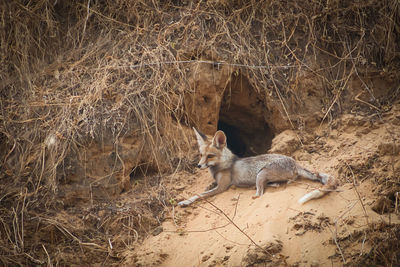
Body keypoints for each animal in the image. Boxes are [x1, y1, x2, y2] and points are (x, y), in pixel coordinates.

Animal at [178, 127, 338, 207]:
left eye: (210, 156)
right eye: (201, 155)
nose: (199, 165)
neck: (222, 166)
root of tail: (294, 162)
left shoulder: (222, 186)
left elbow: (200, 194)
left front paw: (185, 201)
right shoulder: (217, 182)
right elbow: (203, 189)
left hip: (261, 174)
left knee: (261, 193)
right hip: (262, 176)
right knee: (276, 184)